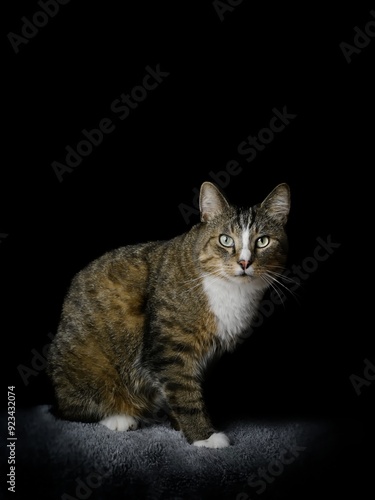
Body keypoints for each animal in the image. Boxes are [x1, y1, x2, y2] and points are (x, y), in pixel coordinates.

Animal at [47, 180, 292, 450]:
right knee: (72, 409)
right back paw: (118, 417)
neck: (230, 290)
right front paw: (203, 436)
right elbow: (184, 392)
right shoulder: (170, 348)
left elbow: (183, 387)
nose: (245, 262)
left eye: (263, 241)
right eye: (226, 240)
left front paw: (179, 423)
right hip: (88, 365)